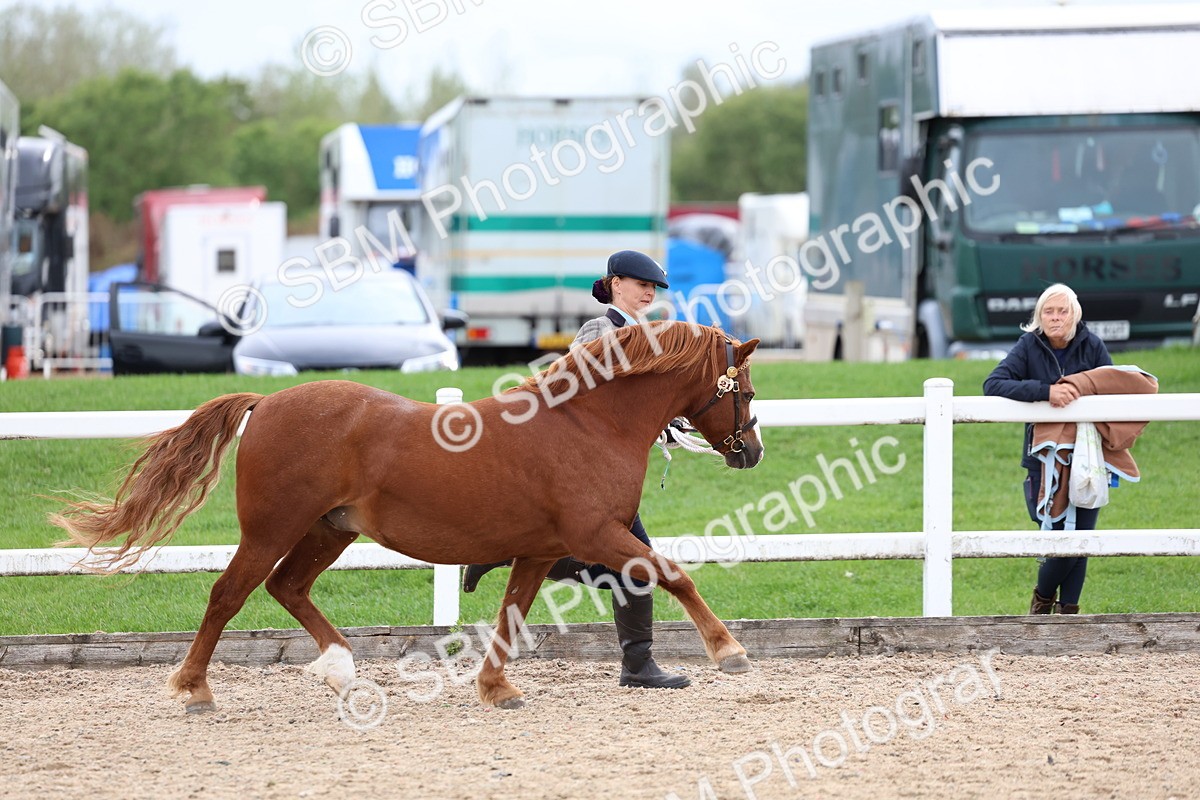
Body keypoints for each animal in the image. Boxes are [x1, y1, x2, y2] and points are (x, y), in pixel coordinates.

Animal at [52, 321, 765, 713]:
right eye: (748, 390)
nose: (752, 451)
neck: (585, 423)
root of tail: (267, 401)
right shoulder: (597, 535)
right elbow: (672, 574)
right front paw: (729, 651)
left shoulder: (541, 549)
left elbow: (511, 613)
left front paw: (496, 688)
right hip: (273, 529)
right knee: (230, 593)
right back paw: (194, 689)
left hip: (328, 532)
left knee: (287, 587)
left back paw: (341, 669)